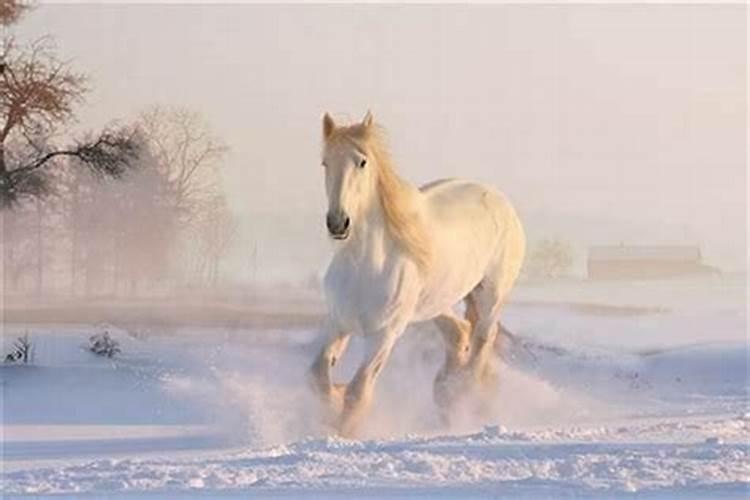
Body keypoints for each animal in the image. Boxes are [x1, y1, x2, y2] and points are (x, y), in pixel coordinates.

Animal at [308, 111, 524, 436]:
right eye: (325, 162)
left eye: (362, 162)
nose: (338, 223)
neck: (365, 267)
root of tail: (500, 199)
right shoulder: (338, 323)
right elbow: (319, 376)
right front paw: (332, 403)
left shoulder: (384, 335)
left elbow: (358, 392)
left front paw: (343, 431)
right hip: (435, 303)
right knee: (460, 332)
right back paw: (445, 392)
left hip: (490, 297)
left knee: (482, 342)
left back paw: (461, 398)